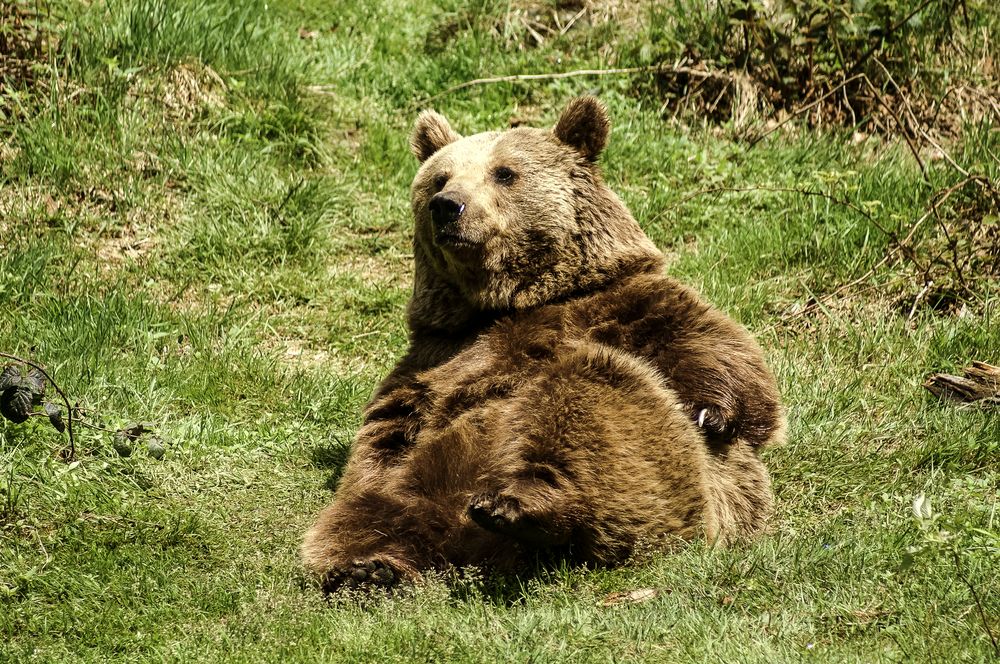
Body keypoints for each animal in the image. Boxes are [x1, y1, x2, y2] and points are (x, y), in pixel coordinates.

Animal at [300, 96, 784, 588]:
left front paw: (712, 411)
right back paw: (369, 569)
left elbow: (717, 348)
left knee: (593, 396)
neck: (511, 301)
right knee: (362, 518)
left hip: (677, 482)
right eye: (440, 178)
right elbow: (387, 431)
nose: (447, 206)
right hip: (419, 489)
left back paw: (526, 504)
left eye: (504, 173)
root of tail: (480, 549)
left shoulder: (620, 302)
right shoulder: (436, 353)